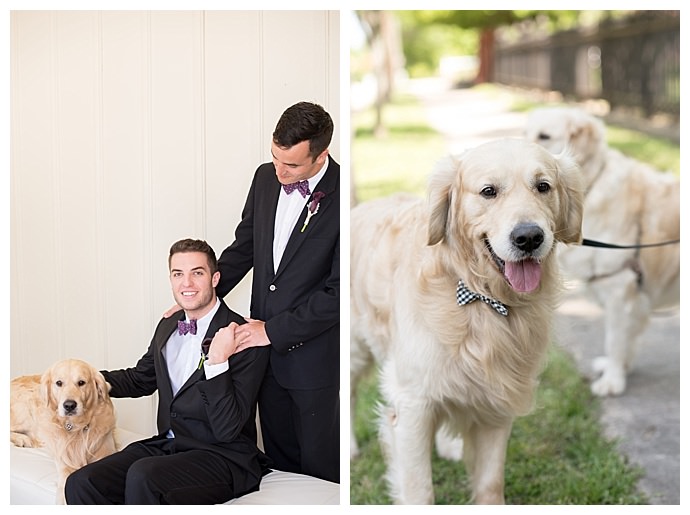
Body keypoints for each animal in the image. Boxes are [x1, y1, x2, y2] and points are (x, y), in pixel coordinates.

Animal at [9, 358, 116, 504]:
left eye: (81, 382)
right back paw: (22, 439)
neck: (77, 427)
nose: (69, 405)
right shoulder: (64, 464)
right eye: (59, 383)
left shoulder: (107, 452)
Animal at [350, 139, 580, 506]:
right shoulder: (412, 403)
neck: (482, 300)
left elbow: (490, 483)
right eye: (489, 191)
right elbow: (419, 489)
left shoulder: (498, 404)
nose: (529, 237)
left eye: (543, 186)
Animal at [528, 107, 676, 398]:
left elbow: (615, 339)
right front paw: (619, 368)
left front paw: (612, 380)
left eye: (545, 136)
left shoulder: (620, 287)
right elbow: (627, 338)